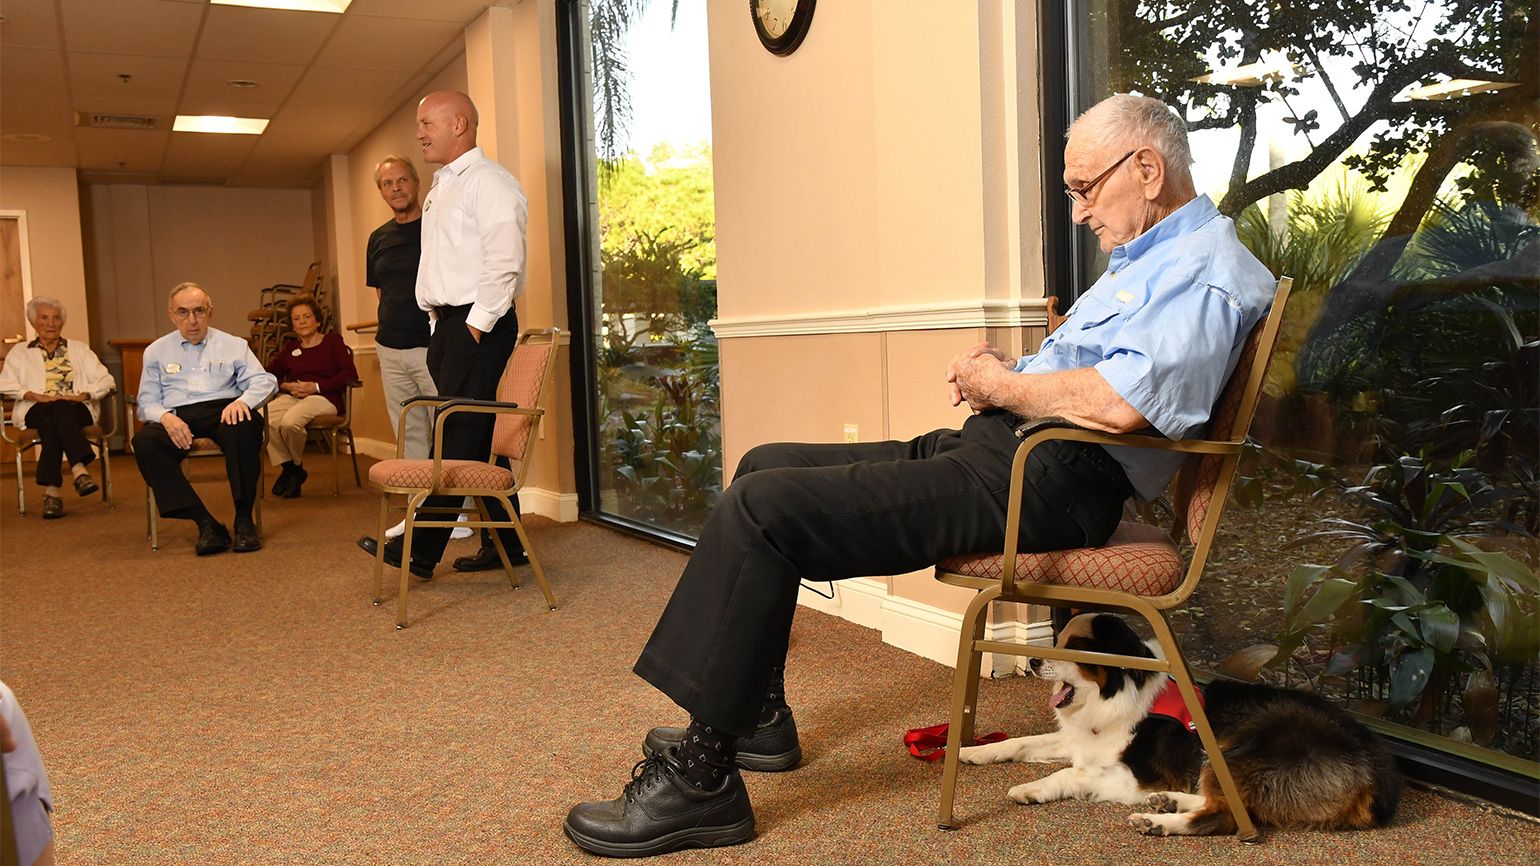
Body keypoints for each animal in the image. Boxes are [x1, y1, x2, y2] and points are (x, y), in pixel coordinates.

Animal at [960, 610, 1410, 832]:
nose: (1034, 662)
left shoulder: (1133, 772)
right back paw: (1168, 802)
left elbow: (1071, 774)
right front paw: (972, 750)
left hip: (1238, 746)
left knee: (1227, 816)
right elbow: (1021, 742)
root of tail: (1377, 777)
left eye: (1076, 648)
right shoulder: (1084, 740)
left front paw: (1030, 789)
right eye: (1058, 640)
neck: (1116, 693)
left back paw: (1156, 820)